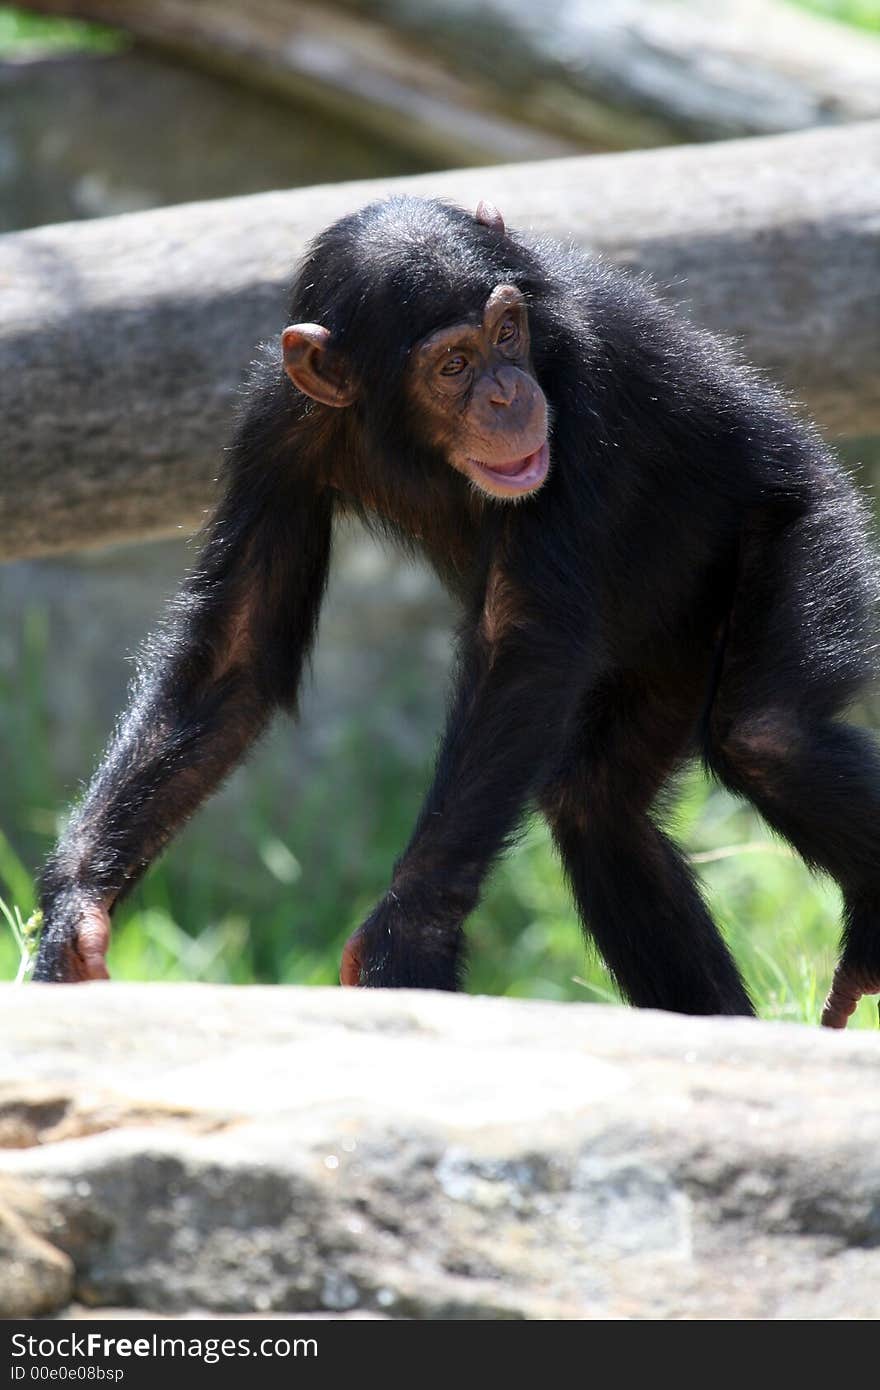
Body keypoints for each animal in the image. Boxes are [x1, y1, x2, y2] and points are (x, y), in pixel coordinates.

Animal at [32, 195, 878, 1028]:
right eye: (453, 364)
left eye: (507, 333)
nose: (507, 391)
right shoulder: (276, 421)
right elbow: (237, 644)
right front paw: (75, 907)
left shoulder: (585, 384)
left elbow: (524, 643)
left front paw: (410, 931)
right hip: (669, 652)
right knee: (596, 804)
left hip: (811, 525)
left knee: (768, 735)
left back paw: (864, 936)